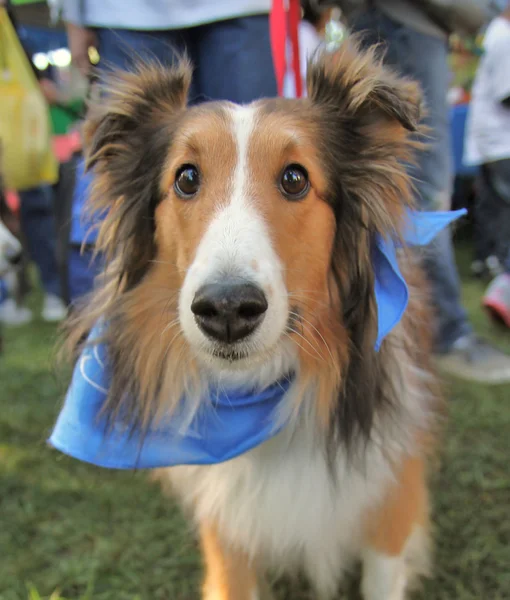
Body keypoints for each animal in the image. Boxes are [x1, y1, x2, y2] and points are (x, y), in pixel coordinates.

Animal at [66, 41, 442, 600]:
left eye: (295, 178)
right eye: (186, 178)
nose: (226, 309)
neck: (257, 394)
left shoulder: (389, 505)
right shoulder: (227, 531)